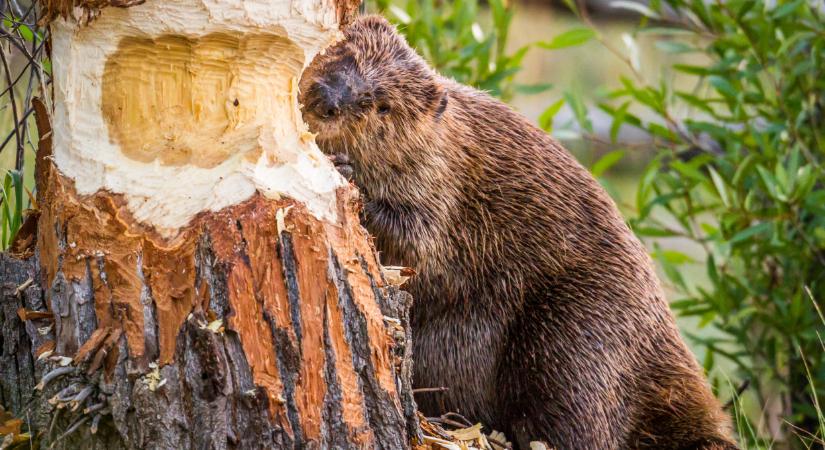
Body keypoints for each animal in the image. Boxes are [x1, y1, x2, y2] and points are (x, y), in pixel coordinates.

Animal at [300, 14, 736, 450]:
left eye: (383, 105)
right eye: (343, 52)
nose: (328, 100)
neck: (447, 139)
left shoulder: (442, 184)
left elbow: (419, 244)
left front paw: (347, 173)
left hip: (576, 333)